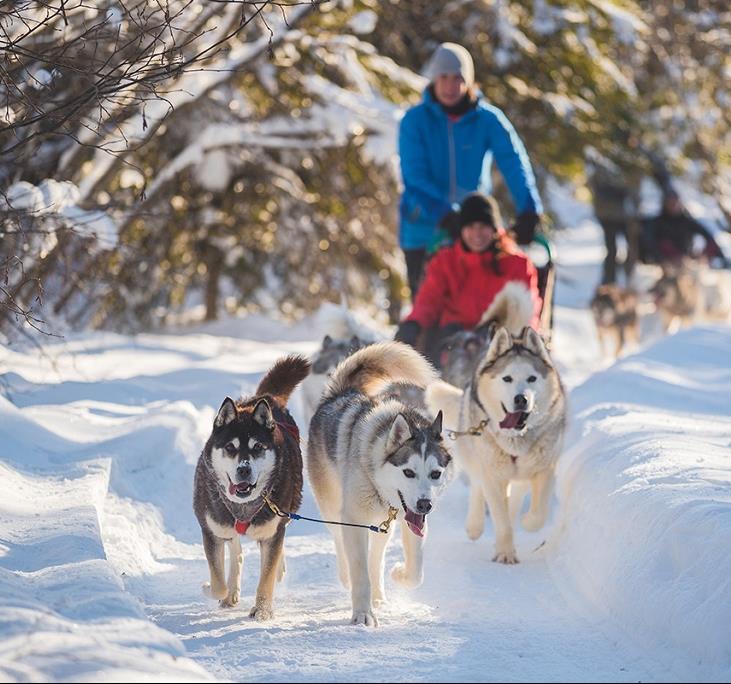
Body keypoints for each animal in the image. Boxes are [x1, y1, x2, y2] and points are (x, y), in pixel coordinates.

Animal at [193, 356, 310, 624]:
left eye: (257, 447)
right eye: (230, 447)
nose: (244, 470)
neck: (244, 507)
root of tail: (266, 398)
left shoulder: (272, 532)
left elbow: (266, 576)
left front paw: (263, 610)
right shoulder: (212, 530)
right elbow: (218, 581)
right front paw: (214, 589)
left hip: (288, 508)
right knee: (235, 549)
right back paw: (231, 591)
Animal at [308, 342, 452, 624]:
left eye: (435, 473)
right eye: (408, 472)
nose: (425, 505)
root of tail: (342, 392)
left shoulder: (410, 520)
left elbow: (416, 571)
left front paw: (399, 574)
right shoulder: (353, 519)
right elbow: (360, 572)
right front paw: (362, 614)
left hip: (383, 526)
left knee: (376, 558)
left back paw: (379, 595)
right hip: (333, 506)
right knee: (341, 543)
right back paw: (348, 578)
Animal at [426, 286, 568, 564]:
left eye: (532, 378)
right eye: (507, 378)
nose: (521, 399)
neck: (515, 440)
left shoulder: (543, 469)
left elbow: (537, 513)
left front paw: (526, 522)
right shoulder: (493, 473)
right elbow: (499, 515)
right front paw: (504, 552)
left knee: (514, 496)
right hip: (475, 455)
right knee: (478, 485)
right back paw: (475, 525)